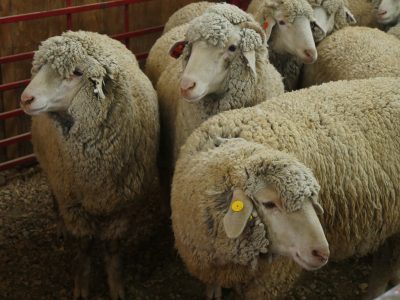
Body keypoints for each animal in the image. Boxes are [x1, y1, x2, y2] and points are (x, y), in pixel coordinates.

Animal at [19, 30, 159, 300]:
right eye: (40, 67)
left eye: (76, 72)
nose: (26, 98)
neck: (95, 170)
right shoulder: (73, 202)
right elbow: (84, 246)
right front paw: (82, 286)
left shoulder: (124, 204)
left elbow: (113, 247)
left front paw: (116, 286)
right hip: (53, 176)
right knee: (55, 200)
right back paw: (60, 227)